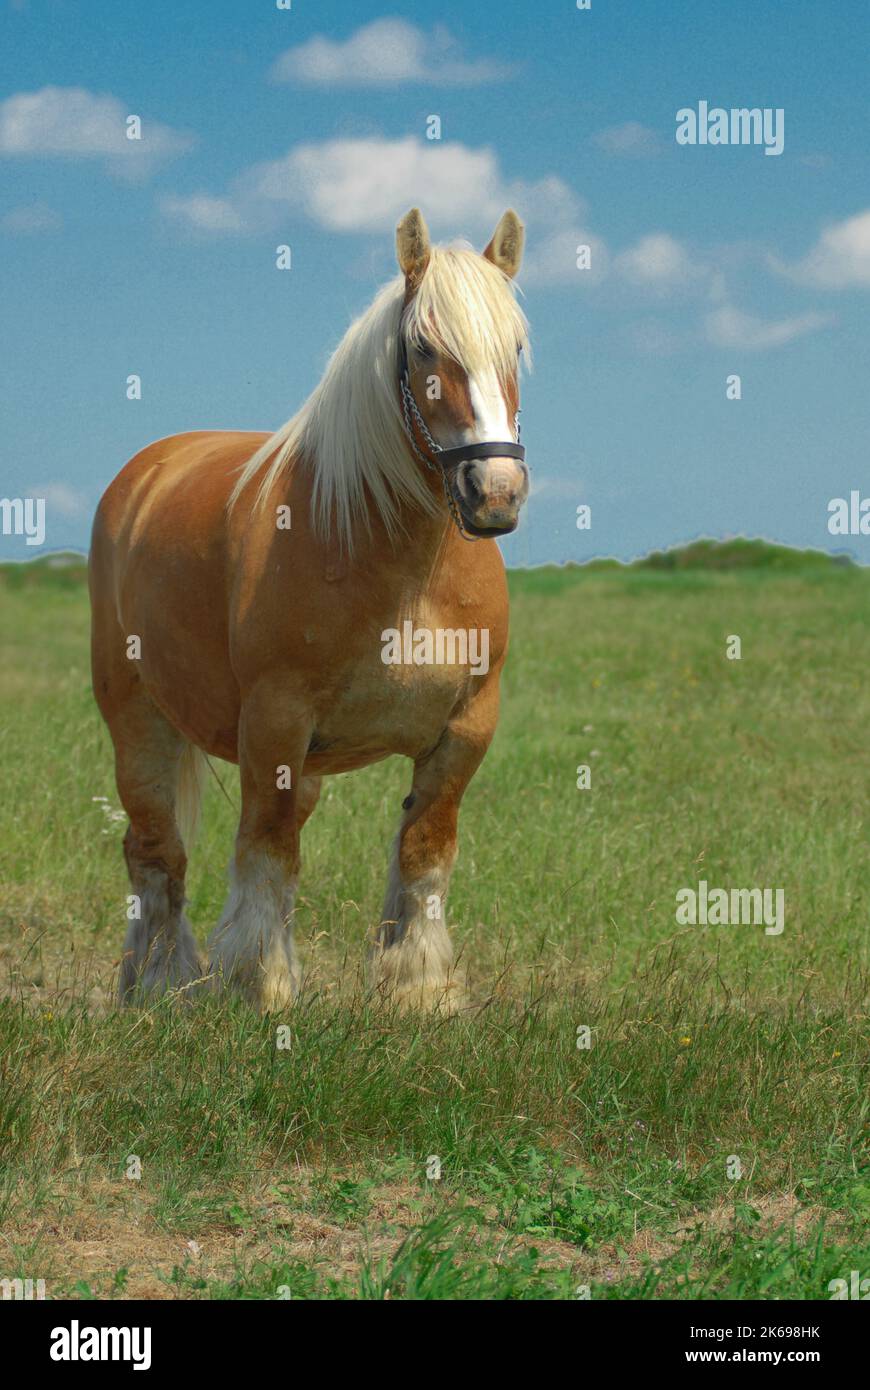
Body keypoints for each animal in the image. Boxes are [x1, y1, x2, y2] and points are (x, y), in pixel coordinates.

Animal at [89, 206, 530, 1014]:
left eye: (514, 348)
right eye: (425, 347)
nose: (496, 492)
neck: (407, 576)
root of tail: (146, 473)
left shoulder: (464, 730)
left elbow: (424, 852)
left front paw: (418, 987)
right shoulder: (276, 720)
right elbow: (267, 851)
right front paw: (256, 985)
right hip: (137, 717)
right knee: (153, 847)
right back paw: (159, 978)